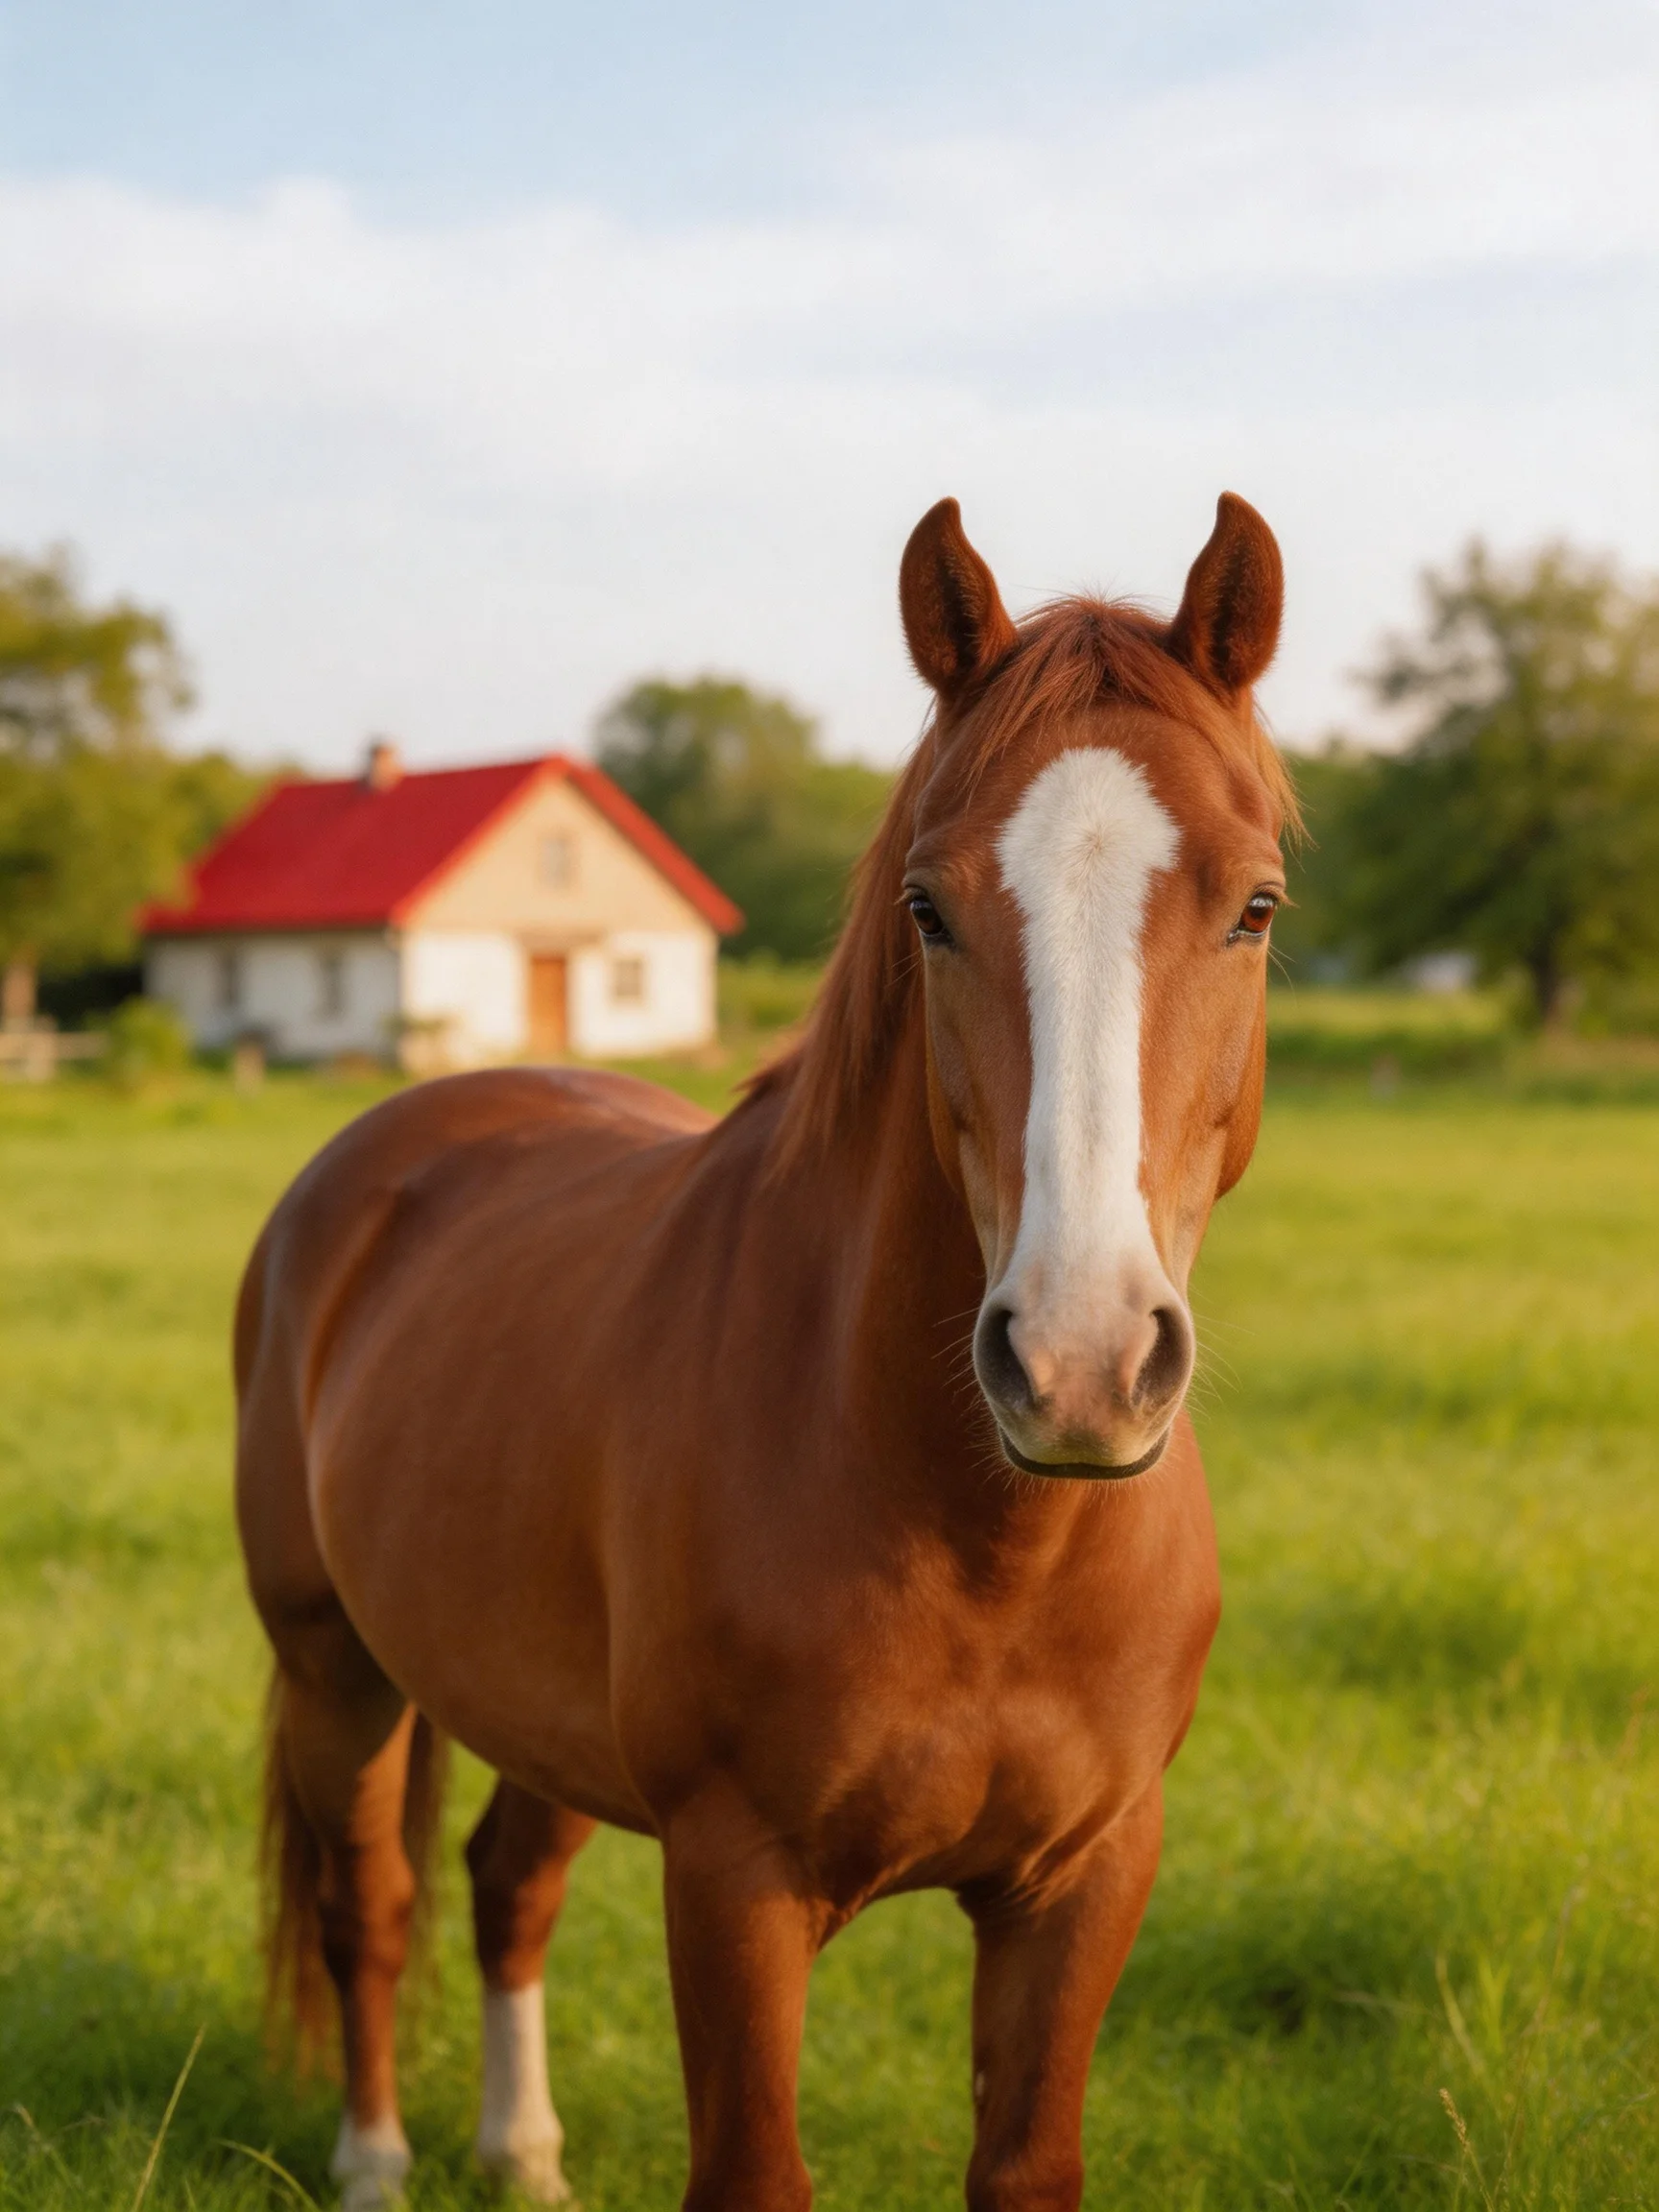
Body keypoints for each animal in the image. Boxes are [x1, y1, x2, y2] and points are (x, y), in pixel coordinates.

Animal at [236, 490, 1295, 2211]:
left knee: (505, 1882)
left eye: (1253, 906)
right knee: (370, 1903)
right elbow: (749, 2166)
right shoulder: (733, 1880)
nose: (1076, 1360)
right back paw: (378, 2160)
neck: (977, 1537)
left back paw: (523, 2155)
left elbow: (1024, 2161)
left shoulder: (1083, 1879)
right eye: (928, 907)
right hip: (333, 1667)